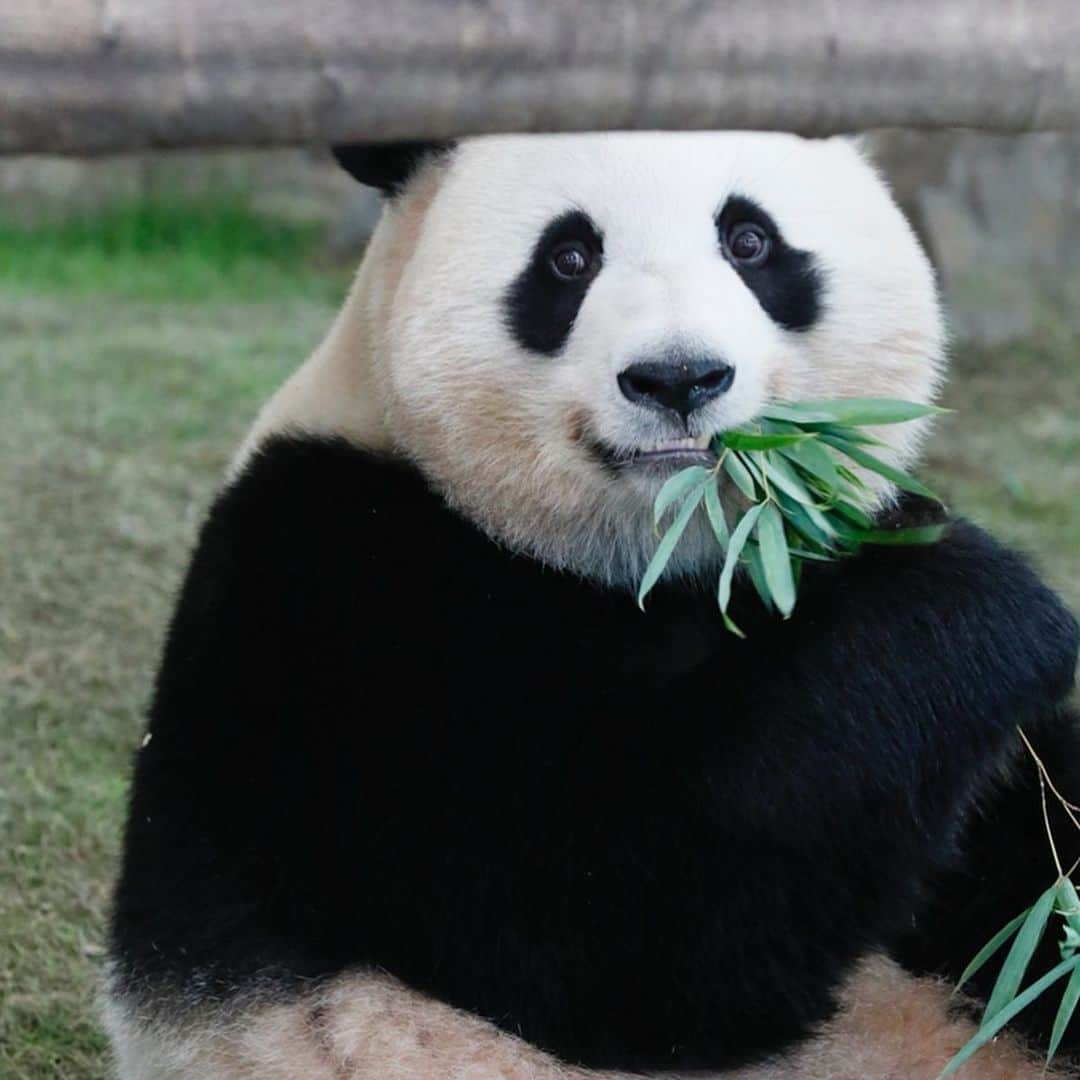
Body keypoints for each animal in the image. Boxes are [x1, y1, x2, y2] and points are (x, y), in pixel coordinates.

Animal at [103, 135, 1080, 1080]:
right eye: (569, 257)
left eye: (749, 240)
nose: (679, 378)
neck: (652, 560)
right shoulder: (335, 591)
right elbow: (617, 920)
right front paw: (982, 598)